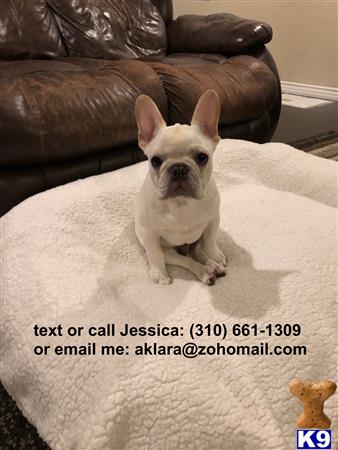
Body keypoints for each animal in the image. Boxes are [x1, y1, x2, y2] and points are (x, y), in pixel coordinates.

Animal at [133, 89, 226, 284]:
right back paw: (205, 270)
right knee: (183, 259)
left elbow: (210, 241)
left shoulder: (213, 220)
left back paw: (213, 263)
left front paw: (215, 255)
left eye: (202, 157)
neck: (181, 202)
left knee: (198, 249)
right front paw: (160, 274)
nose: (178, 168)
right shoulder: (148, 233)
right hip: (167, 251)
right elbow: (155, 254)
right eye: (155, 160)